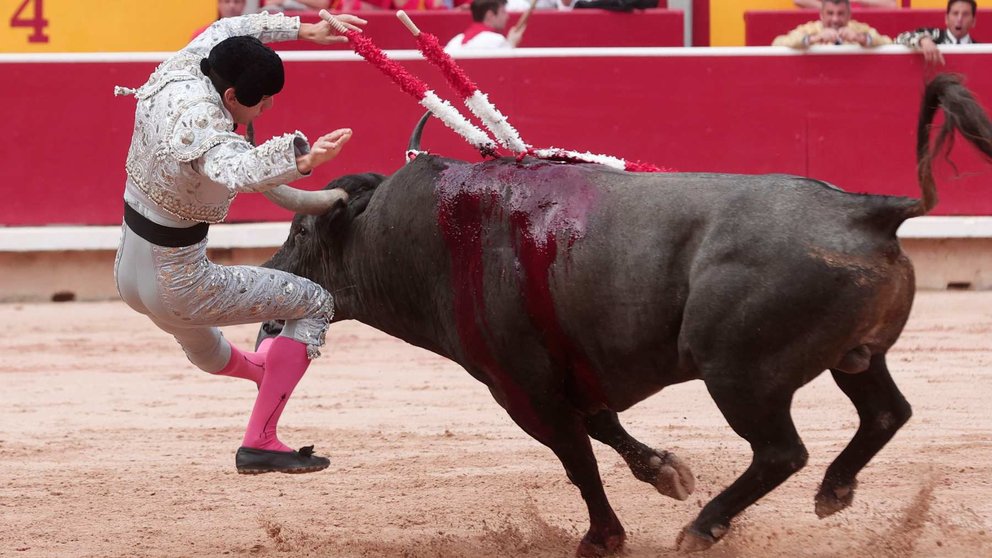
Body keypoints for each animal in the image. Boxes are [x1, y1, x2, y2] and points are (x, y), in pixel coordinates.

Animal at [262, 75, 992, 556]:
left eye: (300, 232)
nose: (268, 322)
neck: (428, 234)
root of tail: (869, 209)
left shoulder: (521, 387)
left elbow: (576, 456)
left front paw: (602, 537)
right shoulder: (570, 370)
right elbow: (604, 425)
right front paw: (666, 473)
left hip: (741, 374)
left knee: (782, 450)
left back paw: (702, 528)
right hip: (855, 357)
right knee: (885, 413)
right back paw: (833, 492)